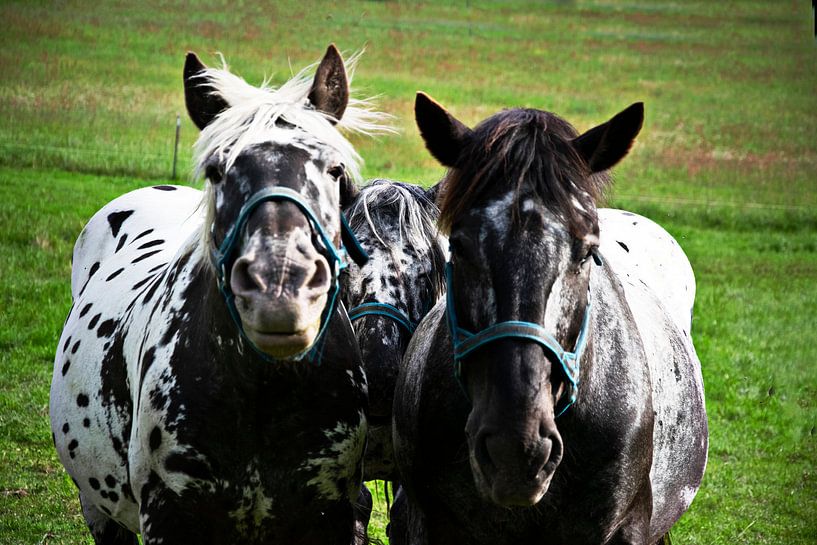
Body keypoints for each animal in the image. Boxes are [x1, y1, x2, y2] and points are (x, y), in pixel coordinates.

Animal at [51, 45, 388, 544]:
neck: (262, 394)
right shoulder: (169, 516)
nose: (279, 292)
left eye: (335, 170)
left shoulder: (330, 517)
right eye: (216, 169)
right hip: (99, 509)